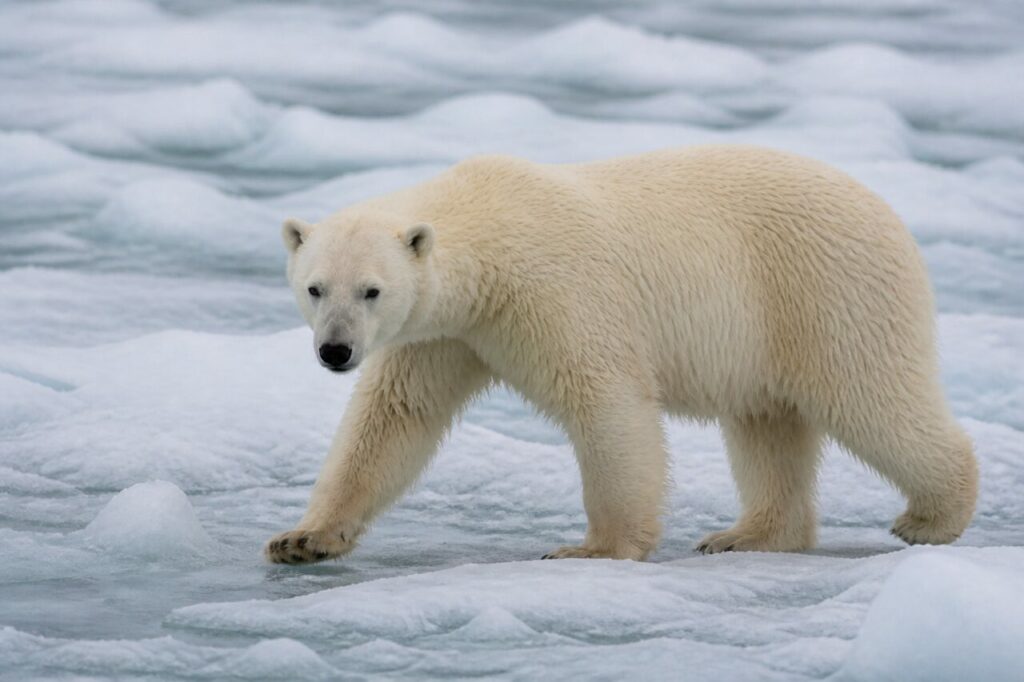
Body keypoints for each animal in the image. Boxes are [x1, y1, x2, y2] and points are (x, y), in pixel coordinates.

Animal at [265, 145, 978, 564]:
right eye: (315, 287)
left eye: (372, 290)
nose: (335, 350)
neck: (489, 228)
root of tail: (885, 210)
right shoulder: (445, 332)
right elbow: (393, 419)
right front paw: (302, 539)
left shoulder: (553, 293)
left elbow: (604, 401)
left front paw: (592, 550)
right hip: (766, 328)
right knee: (766, 425)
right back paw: (746, 535)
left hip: (826, 292)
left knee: (871, 397)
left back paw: (931, 518)